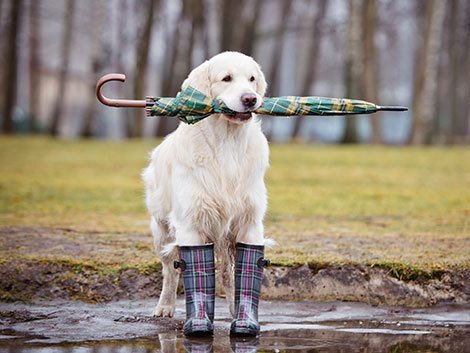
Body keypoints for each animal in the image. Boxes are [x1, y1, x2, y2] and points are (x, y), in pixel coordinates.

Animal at [141, 51, 270, 318]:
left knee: (227, 273)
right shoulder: (191, 223)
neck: (228, 143)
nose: (250, 99)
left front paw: (243, 316)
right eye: (226, 78)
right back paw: (165, 306)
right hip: (161, 228)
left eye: (252, 79)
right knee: (170, 270)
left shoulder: (250, 222)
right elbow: (189, 270)